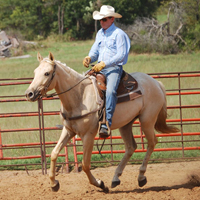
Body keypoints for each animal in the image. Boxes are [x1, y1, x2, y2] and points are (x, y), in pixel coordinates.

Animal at [25, 52, 180, 192]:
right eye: (35, 72)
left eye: (47, 73)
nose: (29, 94)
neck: (79, 96)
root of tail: (156, 82)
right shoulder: (68, 131)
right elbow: (54, 153)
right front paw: (54, 183)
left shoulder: (88, 135)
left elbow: (85, 164)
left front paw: (100, 184)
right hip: (126, 124)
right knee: (131, 147)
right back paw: (116, 178)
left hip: (147, 120)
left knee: (152, 142)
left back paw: (141, 177)